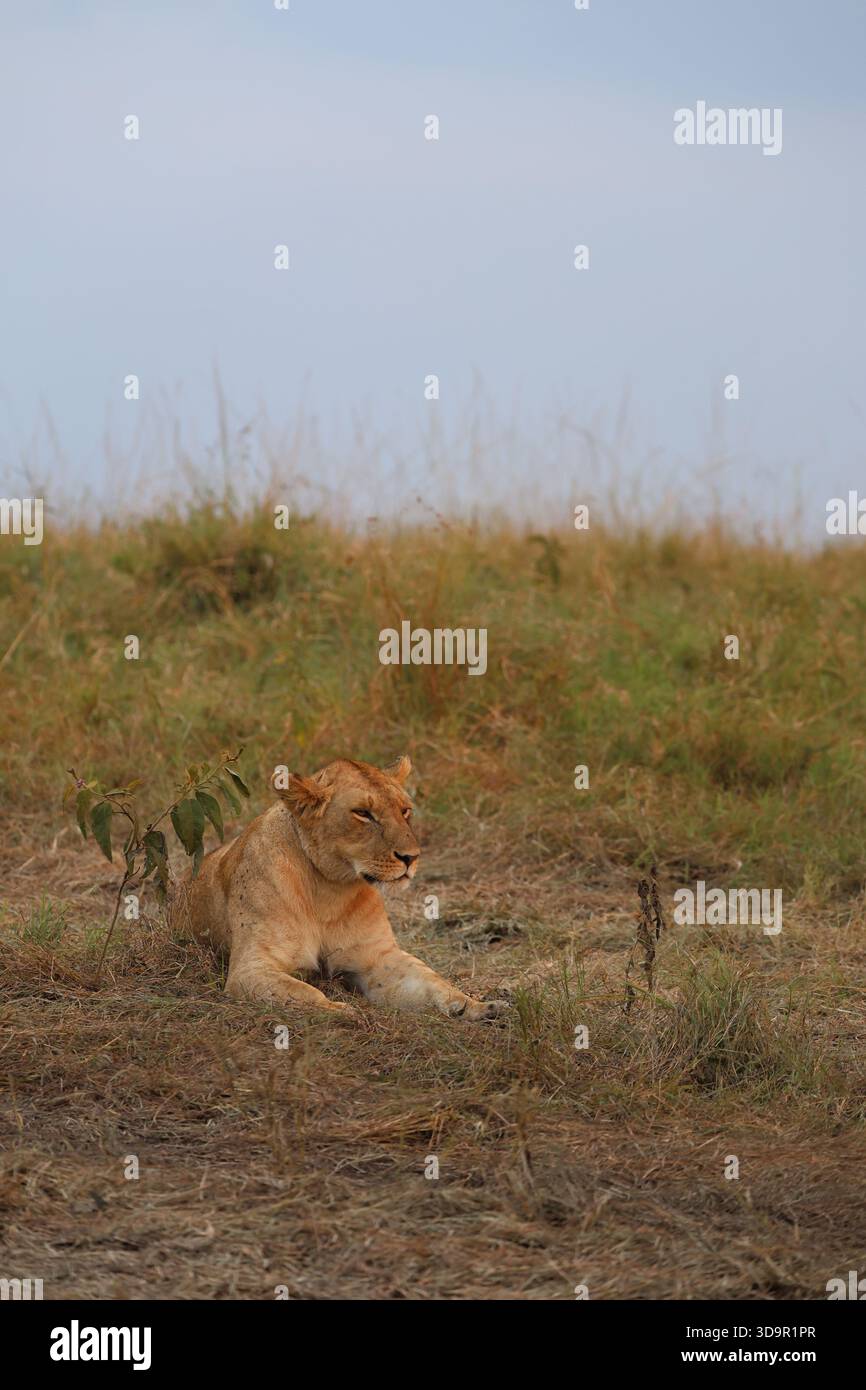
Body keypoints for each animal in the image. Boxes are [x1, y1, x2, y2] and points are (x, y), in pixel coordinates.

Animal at [176, 756, 506, 1021]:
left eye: (405, 811)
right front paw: (342, 1011)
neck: (329, 888)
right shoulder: (251, 968)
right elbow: (303, 992)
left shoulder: (378, 959)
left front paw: (478, 1006)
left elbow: (431, 981)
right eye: (363, 813)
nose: (411, 857)